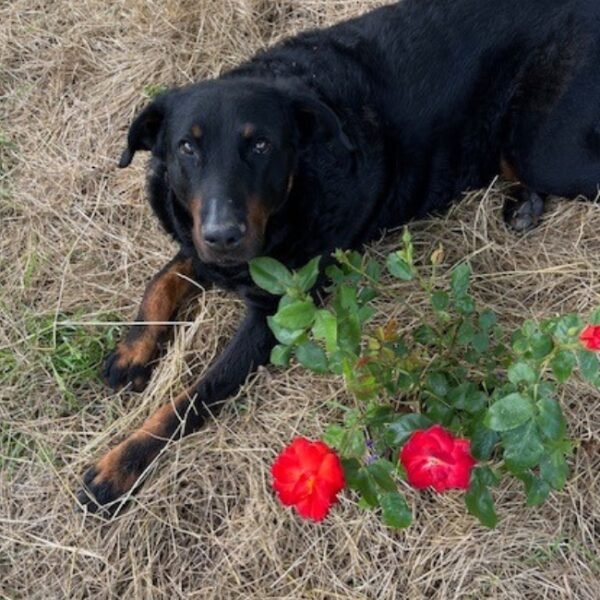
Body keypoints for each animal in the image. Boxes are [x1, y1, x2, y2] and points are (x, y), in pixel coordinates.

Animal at [78, 0, 600, 512]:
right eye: (187, 146)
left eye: (261, 144)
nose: (224, 234)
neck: (297, 188)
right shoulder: (200, 237)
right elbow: (163, 279)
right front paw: (131, 351)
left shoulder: (273, 313)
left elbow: (191, 397)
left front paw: (121, 462)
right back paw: (523, 203)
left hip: (546, 152)